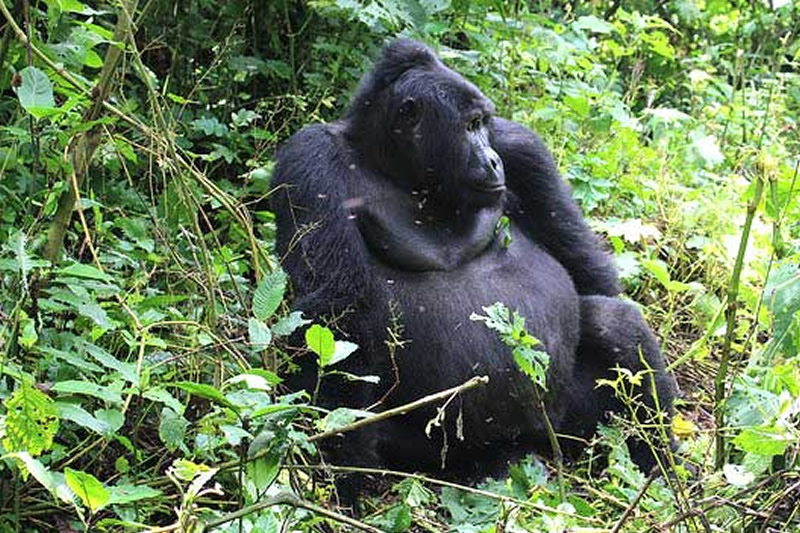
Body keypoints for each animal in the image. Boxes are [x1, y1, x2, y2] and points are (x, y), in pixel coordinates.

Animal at [270, 38, 676, 482]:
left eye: (484, 124)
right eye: (469, 126)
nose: (493, 160)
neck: (395, 165)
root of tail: (529, 442)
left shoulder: (522, 146)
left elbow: (584, 268)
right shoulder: (310, 158)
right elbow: (336, 310)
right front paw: (345, 466)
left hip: (564, 422)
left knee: (612, 321)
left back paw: (657, 461)